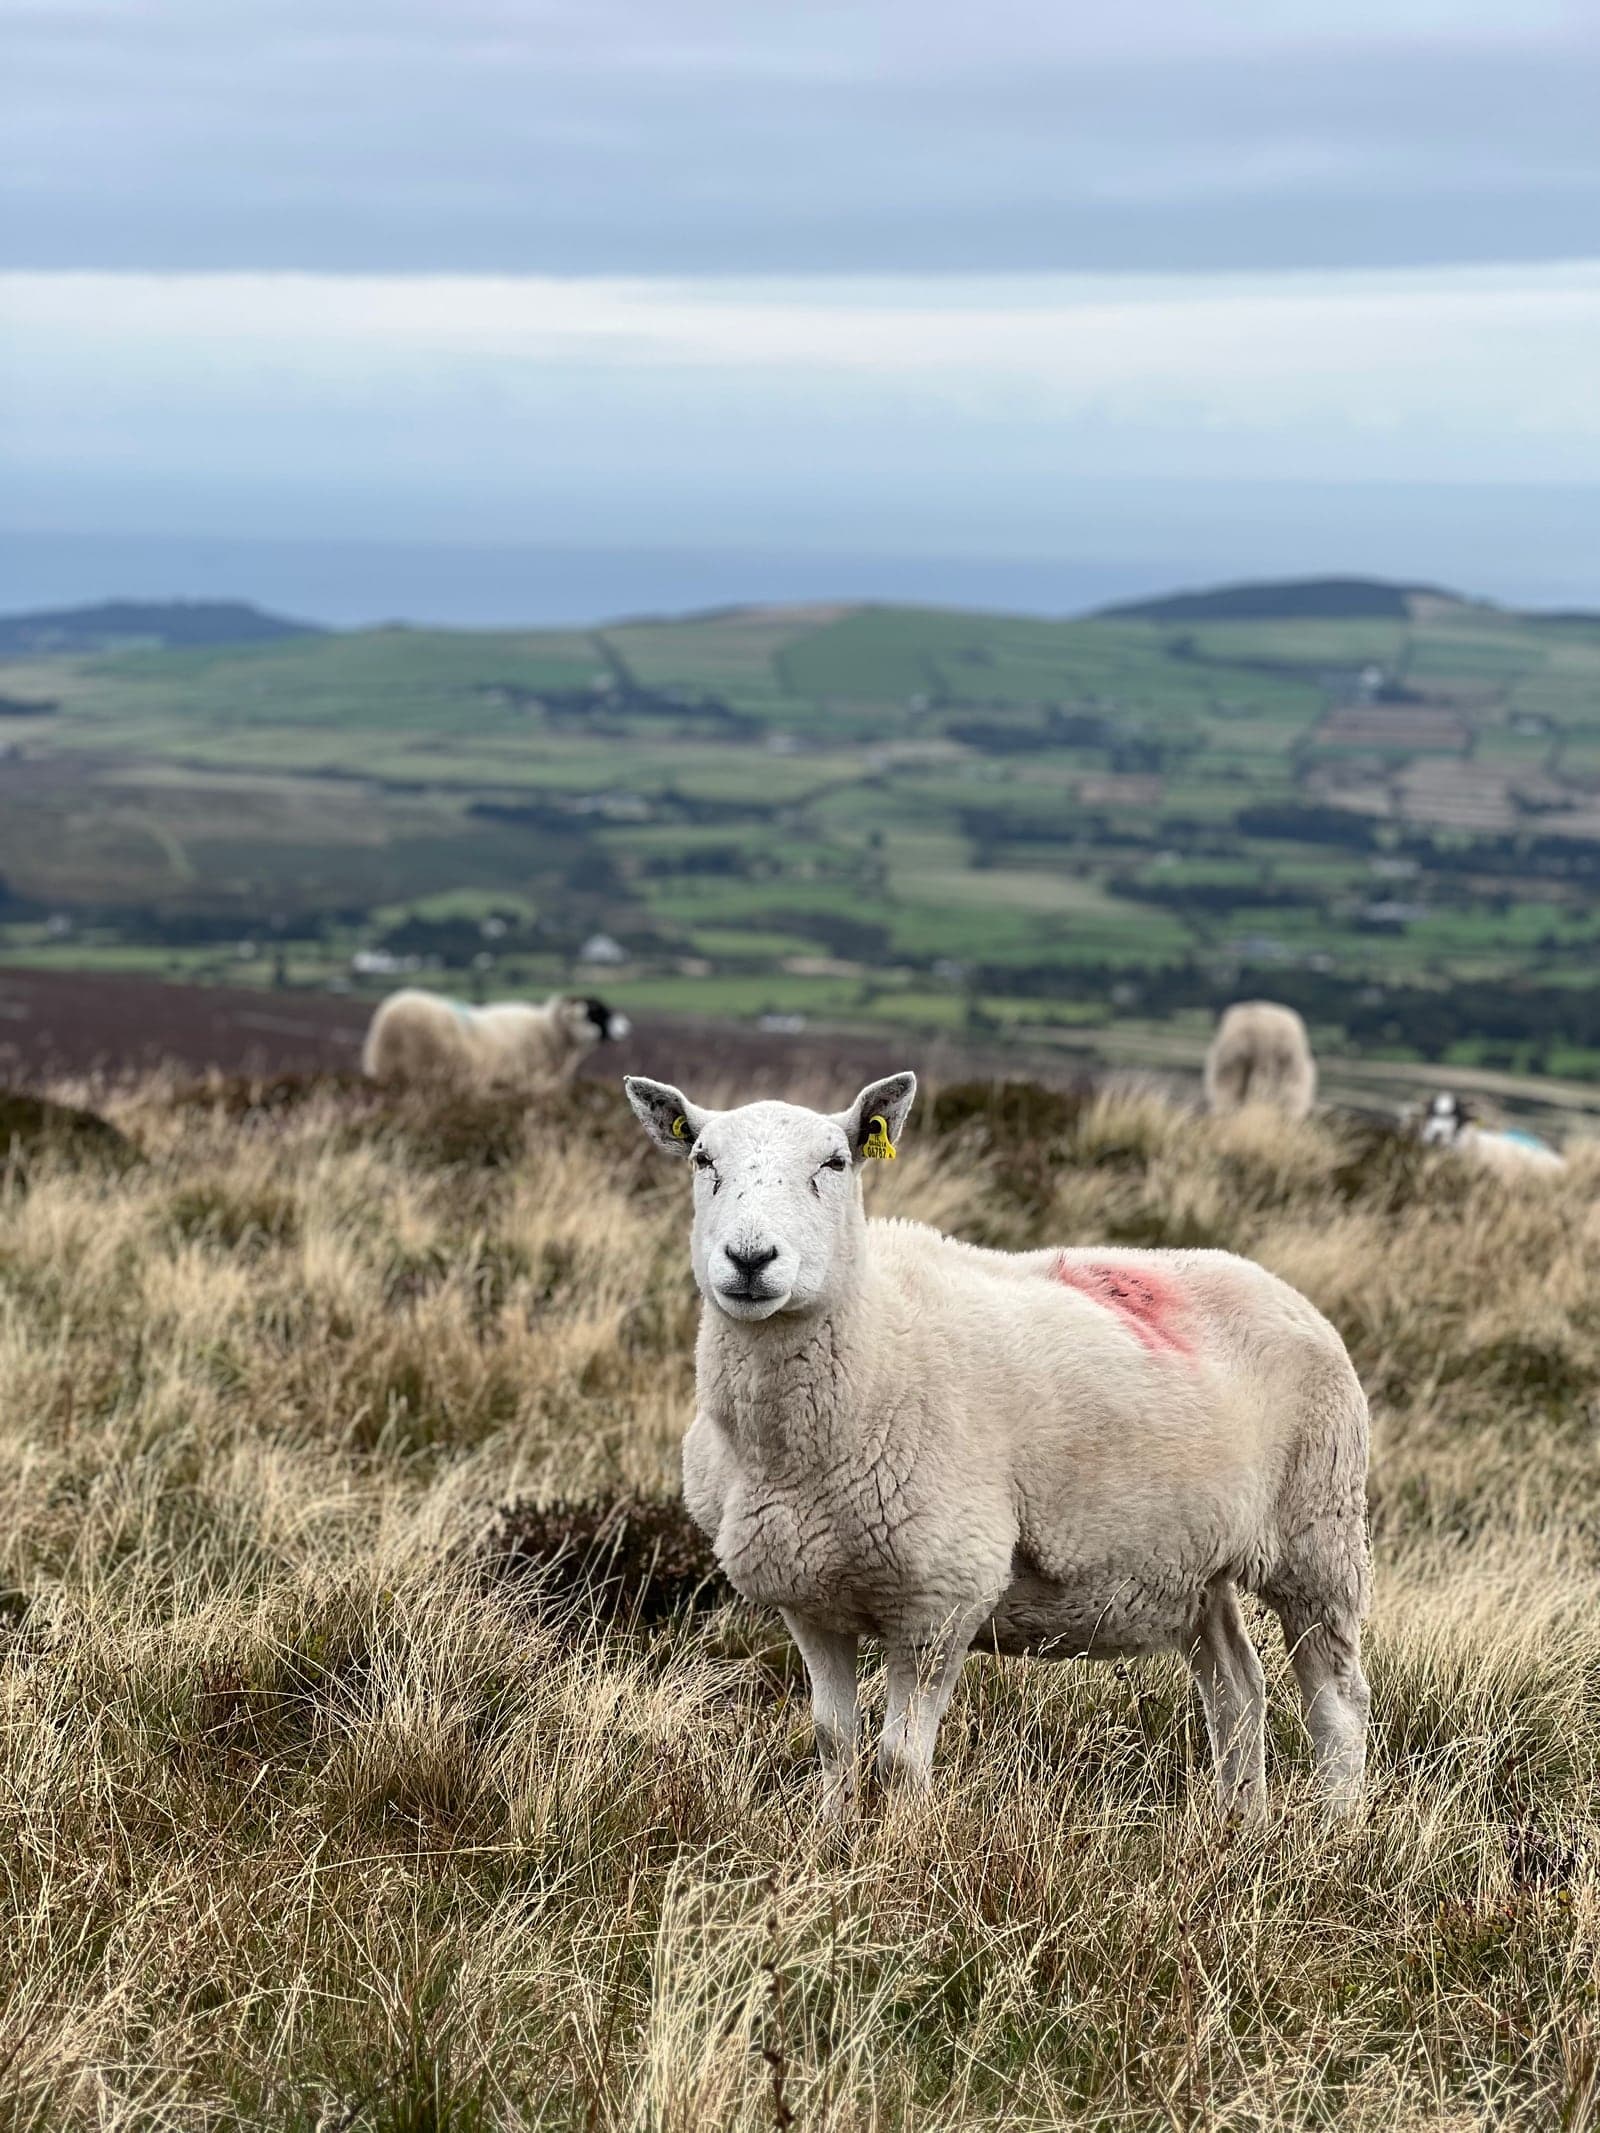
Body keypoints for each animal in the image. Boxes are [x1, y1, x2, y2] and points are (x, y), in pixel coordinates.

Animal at [624, 1068, 1372, 1818]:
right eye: (703, 1160)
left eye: (835, 1163)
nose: (750, 1260)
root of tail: (1272, 1282)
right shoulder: (809, 1598)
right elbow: (834, 1742)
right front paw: (831, 1833)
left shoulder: (942, 1597)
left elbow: (899, 1760)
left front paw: (903, 1839)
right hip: (1191, 1562)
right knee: (1237, 1688)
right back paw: (1239, 1822)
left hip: (1320, 1532)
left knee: (1336, 1700)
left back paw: (1333, 1827)